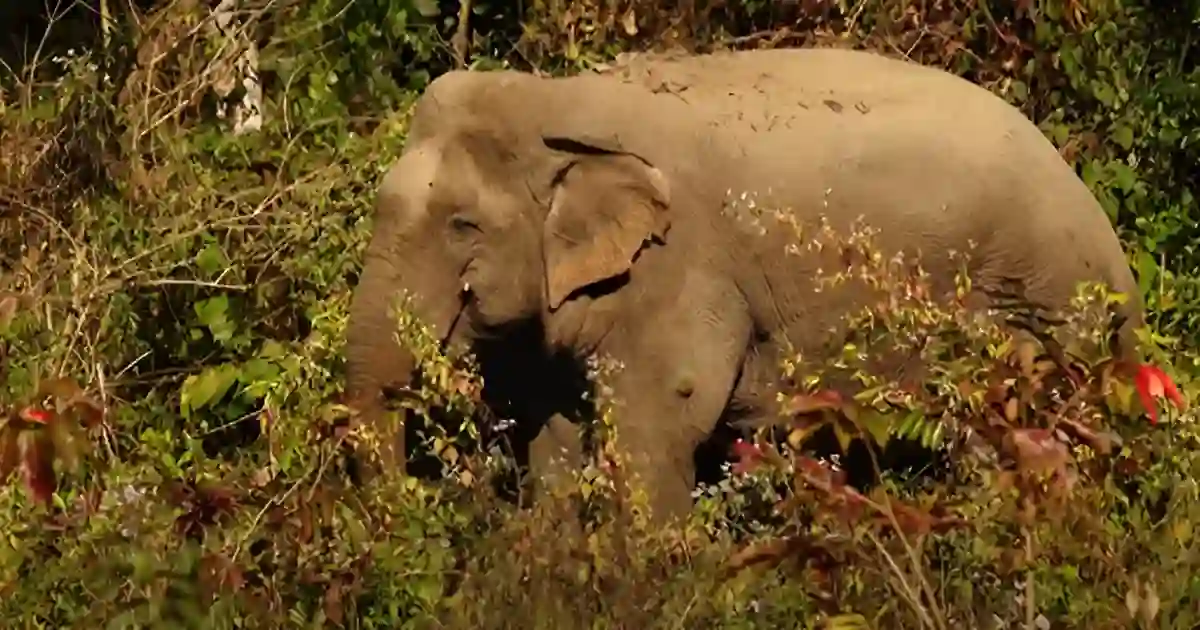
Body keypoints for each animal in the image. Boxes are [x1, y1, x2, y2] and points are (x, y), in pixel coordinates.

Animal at [348, 46, 1142, 523]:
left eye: (462, 226)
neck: (559, 102)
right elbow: (556, 434)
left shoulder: (684, 267)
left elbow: (660, 425)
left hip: (1046, 312)